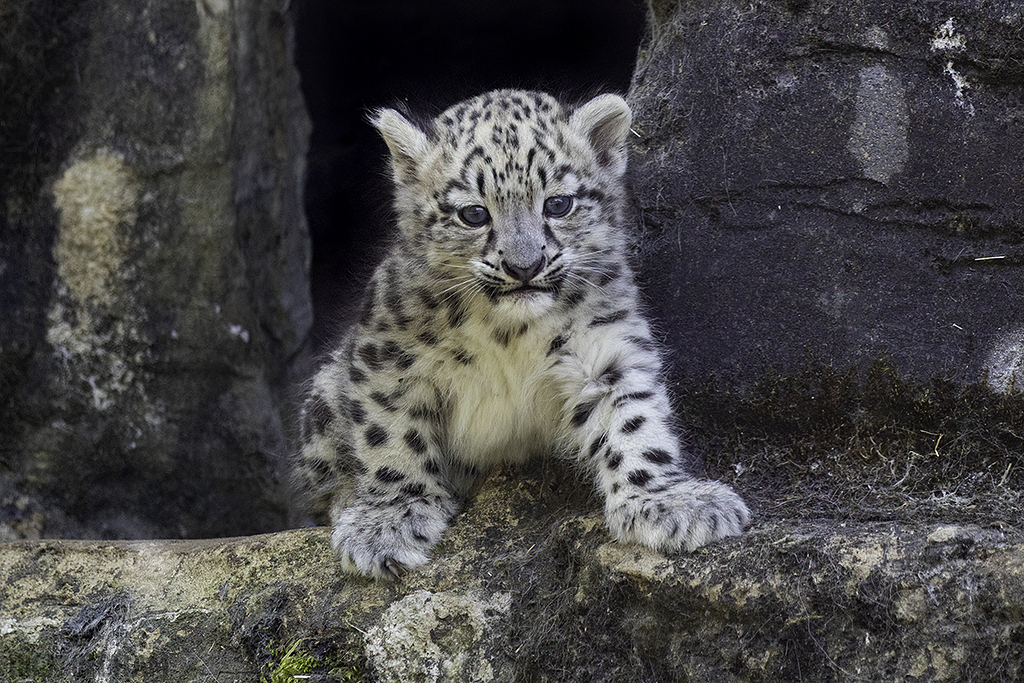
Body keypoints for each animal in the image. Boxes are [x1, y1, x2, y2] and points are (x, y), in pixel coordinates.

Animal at [293, 89, 749, 578]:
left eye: (558, 204)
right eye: (474, 213)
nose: (524, 266)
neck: (508, 334)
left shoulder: (606, 350)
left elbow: (634, 419)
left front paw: (670, 502)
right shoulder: (389, 360)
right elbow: (391, 436)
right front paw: (389, 522)